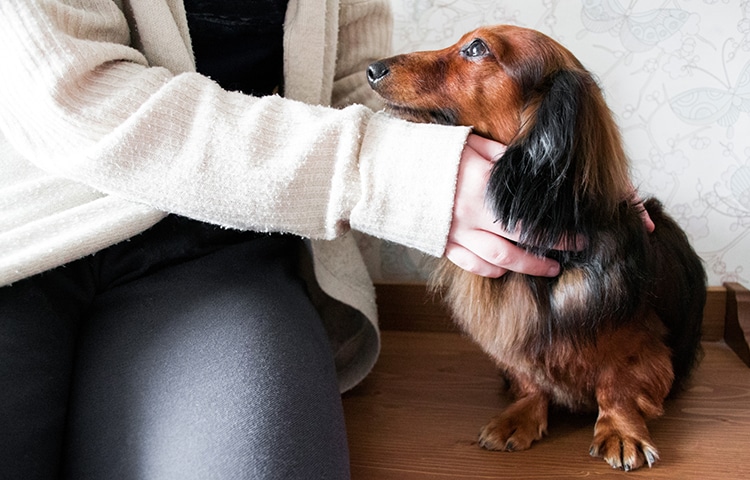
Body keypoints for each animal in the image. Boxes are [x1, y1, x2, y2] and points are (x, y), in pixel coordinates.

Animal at [368, 24, 708, 470]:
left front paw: (621, 431)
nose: (372, 68)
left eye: (476, 48)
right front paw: (522, 415)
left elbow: (616, 383)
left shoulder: (636, 342)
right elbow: (531, 380)